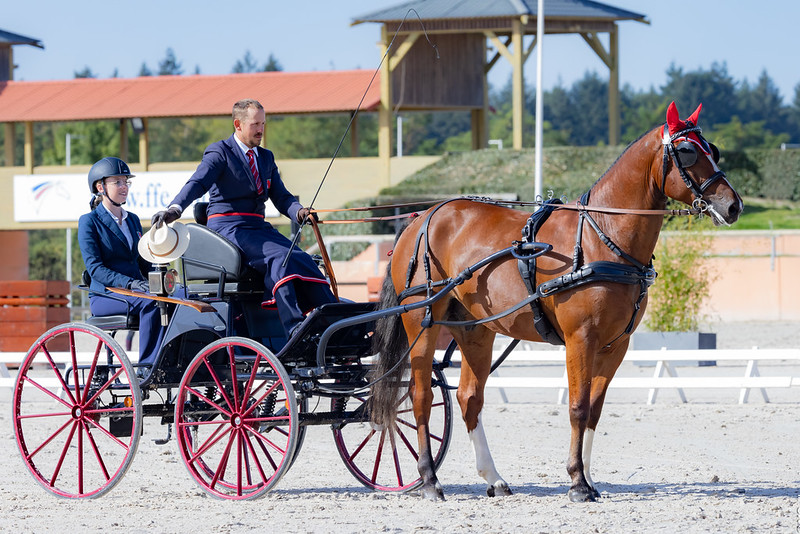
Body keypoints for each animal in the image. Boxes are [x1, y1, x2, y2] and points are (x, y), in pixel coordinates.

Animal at [368, 101, 744, 502]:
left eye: (713, 150)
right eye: (687, 152)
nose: (733, 205)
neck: (602, 237)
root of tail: (422, 217)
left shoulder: (616, 346)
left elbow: (594, 410)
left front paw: (589, 479)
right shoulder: (581, 339)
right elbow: (577, 407)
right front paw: (577, 482)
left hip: (474, 330)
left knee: (469, 398)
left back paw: (493, 478)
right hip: (420, 322)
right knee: (421, 395)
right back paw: (429, 480)